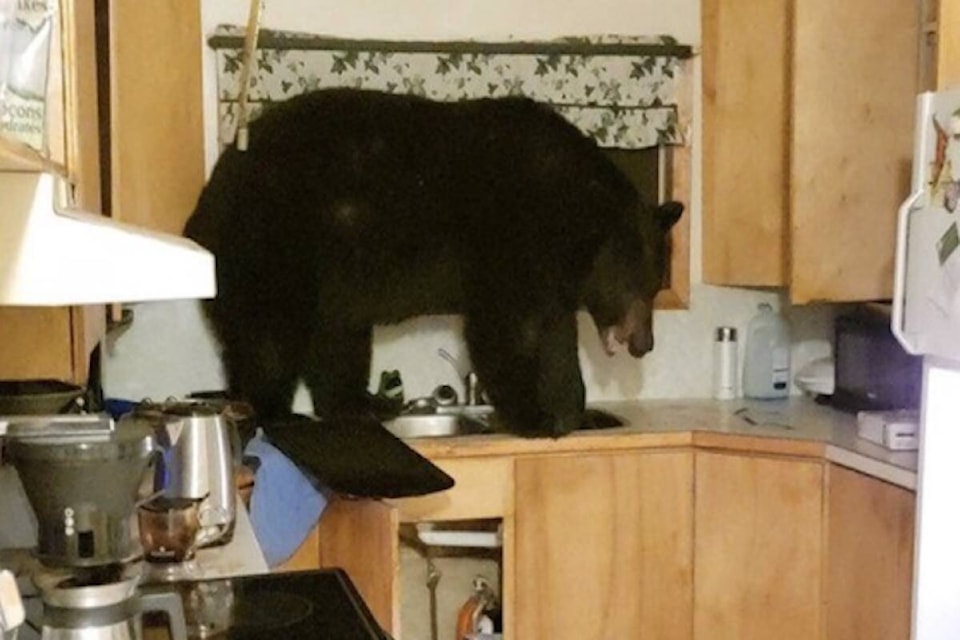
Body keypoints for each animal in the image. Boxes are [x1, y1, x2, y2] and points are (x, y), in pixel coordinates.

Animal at [186, 87, 684, 438]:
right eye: (640, 282)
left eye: (655, 285)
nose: (645, 343)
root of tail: (207, 201)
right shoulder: (507, 239)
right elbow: (508, 329)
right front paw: (534, 415)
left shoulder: (550, 275)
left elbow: (556, 338)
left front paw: (576, 411)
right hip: (280, 243)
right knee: (270, 335)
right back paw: (279, 413)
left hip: (336, 278)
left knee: (338, 338)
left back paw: (364, 404)